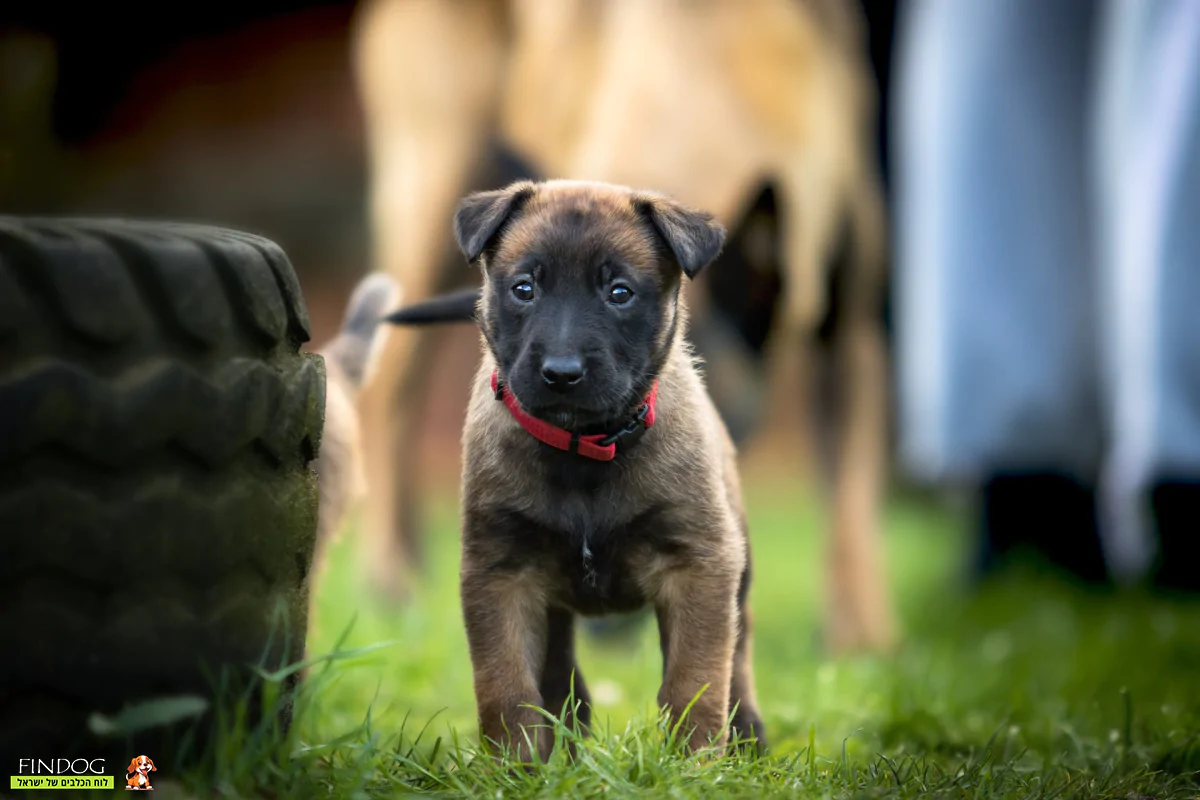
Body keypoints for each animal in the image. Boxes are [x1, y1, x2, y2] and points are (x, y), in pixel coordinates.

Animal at [388, 181, 763, 762]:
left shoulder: (698, 565)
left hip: (736, 573)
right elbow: (506, 686)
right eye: (523, 289)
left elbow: (695, 681)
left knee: (738, 660)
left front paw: (693, 762)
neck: (584, 452)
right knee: (559, 671)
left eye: (619, 293)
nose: (561, 373)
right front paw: (514, 767)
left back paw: (746, 737)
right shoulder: (501, 574)